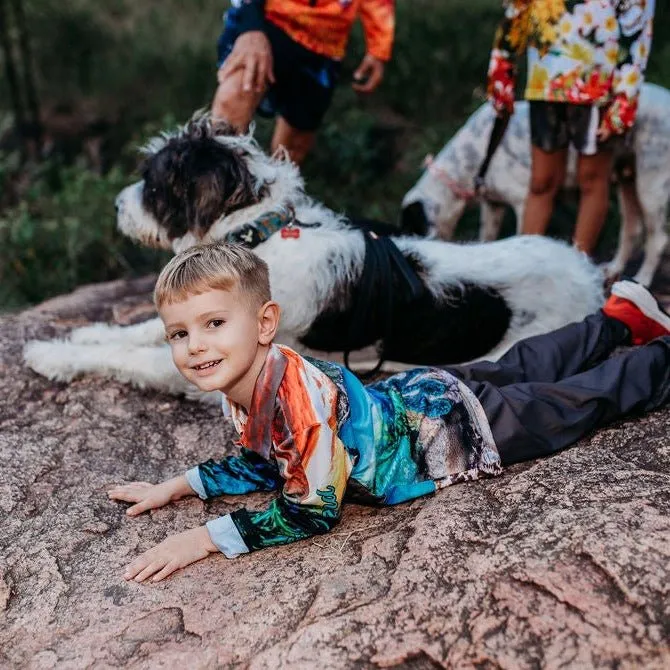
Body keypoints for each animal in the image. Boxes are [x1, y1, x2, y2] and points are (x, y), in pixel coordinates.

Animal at [26, 117, 608, 400]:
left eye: (152, 183)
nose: (115, 205)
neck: (254, 237)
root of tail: (591, 276)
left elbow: (131, 358)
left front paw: (50, 354)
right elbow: (138, 330)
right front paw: (84, 334)